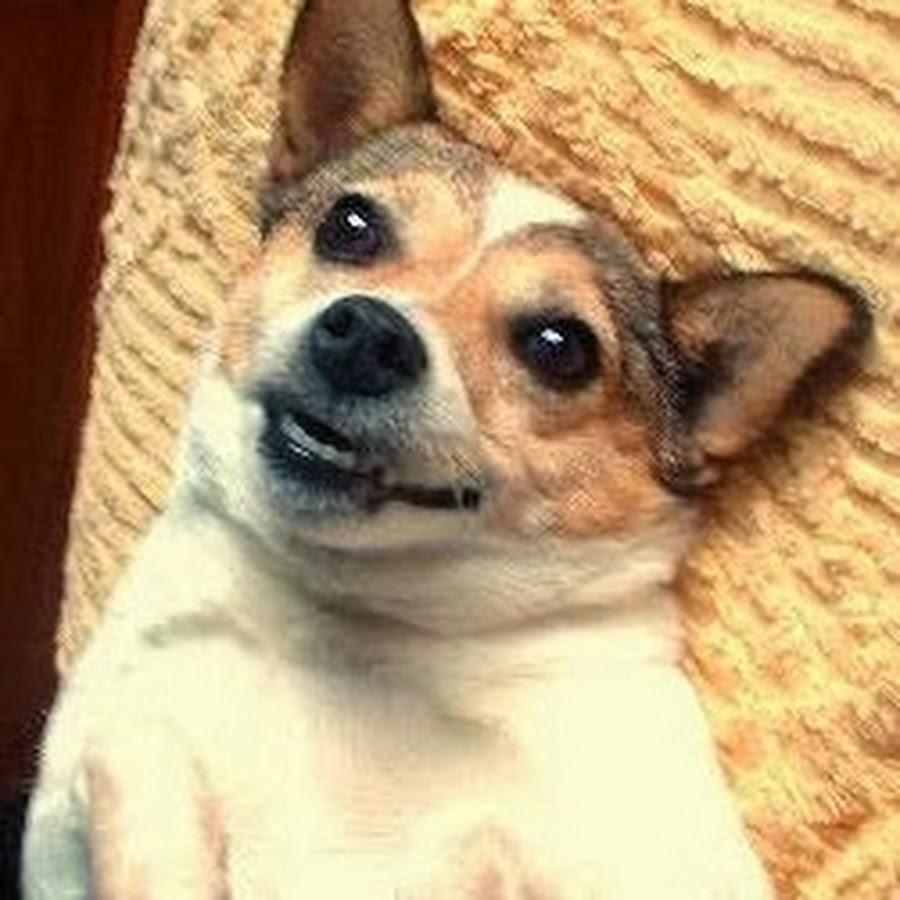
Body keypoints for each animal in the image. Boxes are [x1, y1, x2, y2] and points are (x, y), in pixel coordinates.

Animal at [23, 0, 870, 897]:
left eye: (560, 347)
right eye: (350, 225)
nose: (369, 335)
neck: (338, 620)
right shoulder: (78, 805)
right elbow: (134, 771)